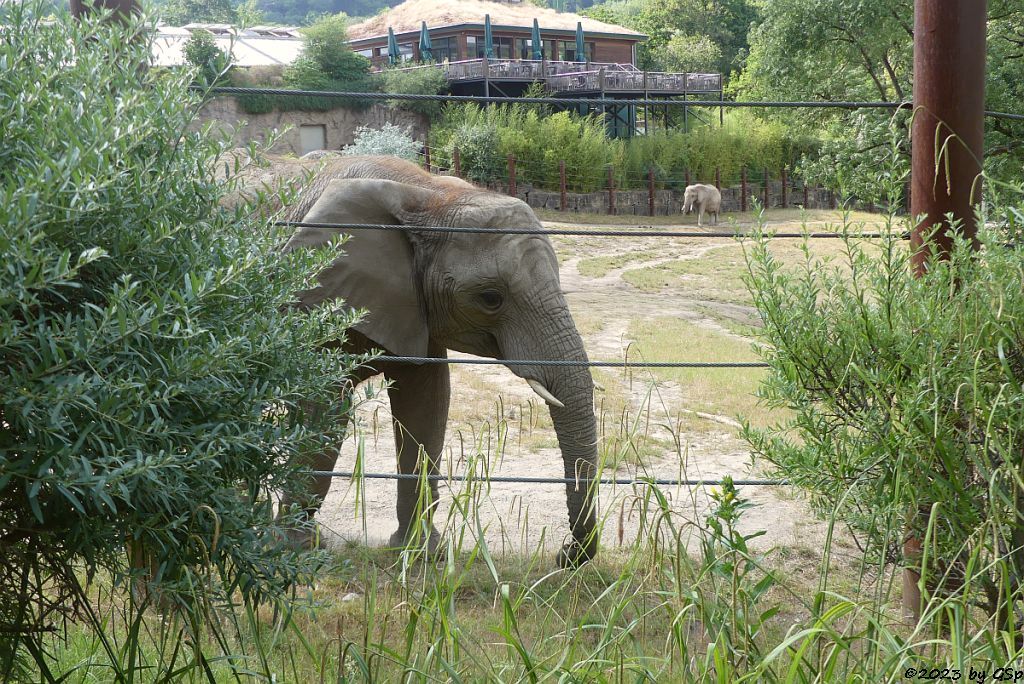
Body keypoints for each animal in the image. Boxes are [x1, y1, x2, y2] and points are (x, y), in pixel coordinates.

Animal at [264, 154, 598, 565]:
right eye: (490, 298)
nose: (564, 554)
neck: (426, 194)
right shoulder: (320, 297)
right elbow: (324, 406)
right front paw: (296, 550)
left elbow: (426, 404)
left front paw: (420, 553)